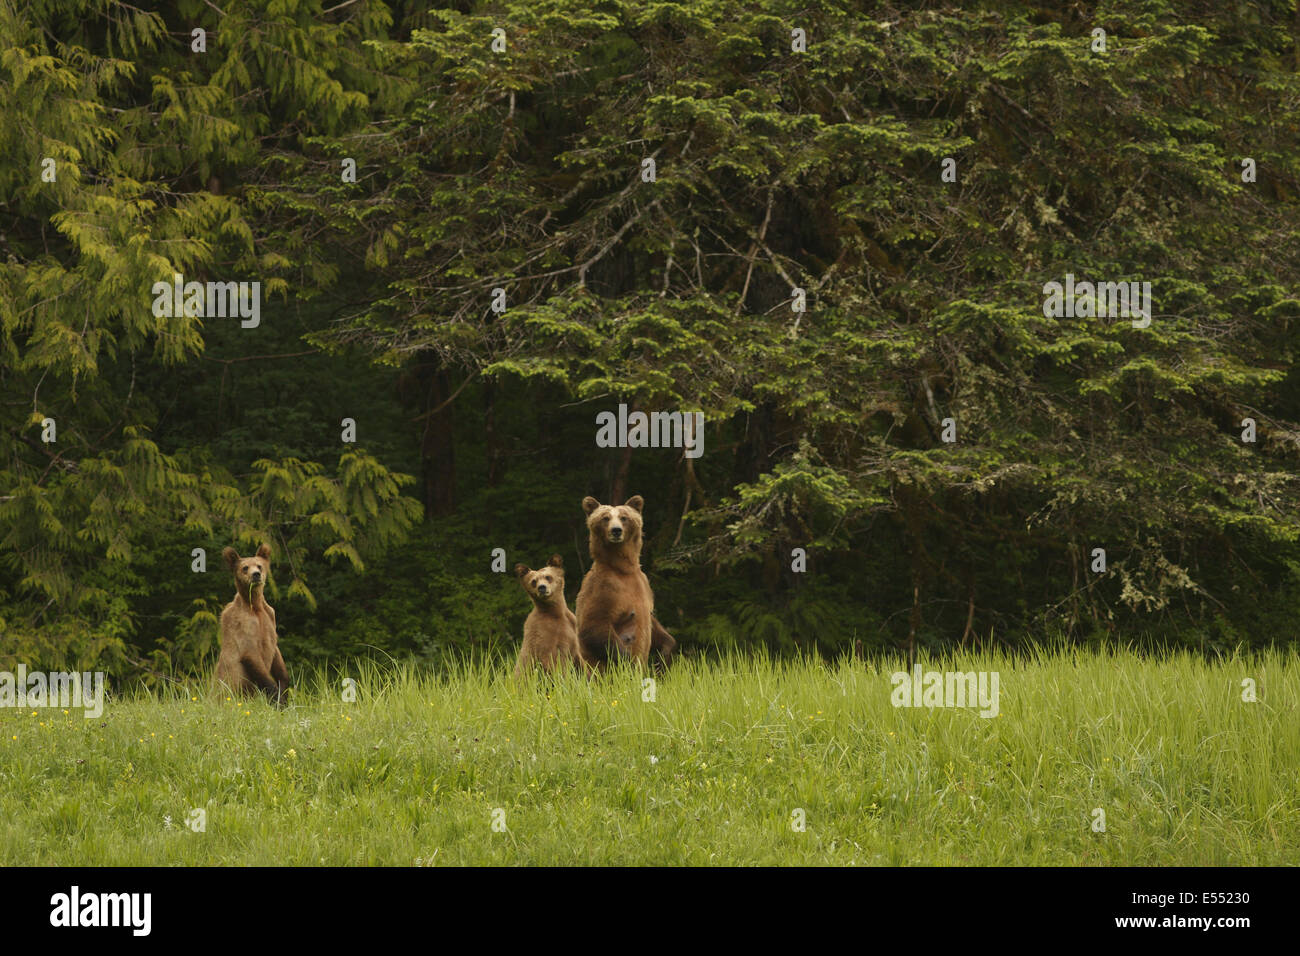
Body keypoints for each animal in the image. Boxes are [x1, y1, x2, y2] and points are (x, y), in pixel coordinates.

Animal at [213, 541, 289, 707]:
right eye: (245, 567)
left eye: (259, 565)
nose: (256, 574)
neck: (255, 606)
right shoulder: (244, 624)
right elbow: (250, 654)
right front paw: (276, 697)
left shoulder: (270, 618)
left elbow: (277, 657)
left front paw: (284, 690)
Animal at [579, 496, 681, 671]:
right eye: (605, 518)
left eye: (624, 517)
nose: (616, 530)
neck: (623, 569)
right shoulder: (604, 587)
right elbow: (593, 625)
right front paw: (627, 662)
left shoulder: (644, 585)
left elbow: (654, 623)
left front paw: (664, 655)